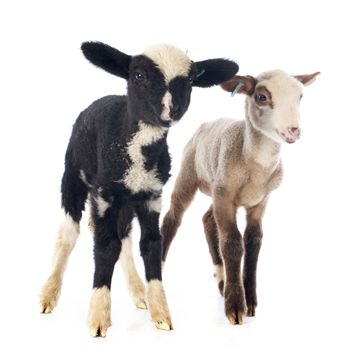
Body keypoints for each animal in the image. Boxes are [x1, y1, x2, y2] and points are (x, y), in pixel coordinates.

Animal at [39, 41, 239, 336]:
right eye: (139, 75)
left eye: (191, 80)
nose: (170, 110)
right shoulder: (105, 195)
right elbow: (105, 246)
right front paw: (98, 317)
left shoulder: (151, 196)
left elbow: (152, 244)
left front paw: (161, 312)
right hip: (73, 176)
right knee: (69, 234)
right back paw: (49, 294)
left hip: (126, 201)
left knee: (124, 236)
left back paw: (138, 291)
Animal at [160, 69, 318, 326]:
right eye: (262, 97)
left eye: (300, 96)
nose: (294, 131)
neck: (256, 167)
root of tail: (206, 124)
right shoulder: (225, 198)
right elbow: (232, 242)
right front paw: (235, 306)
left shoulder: (259, 201)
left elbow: (253, 241)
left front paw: (249, 299)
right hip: (190, 174)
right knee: (172, 219)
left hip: (215, 187)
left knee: (207, 220)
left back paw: (221, 279)